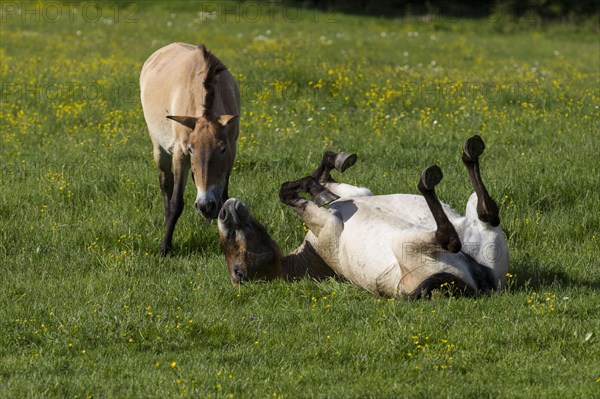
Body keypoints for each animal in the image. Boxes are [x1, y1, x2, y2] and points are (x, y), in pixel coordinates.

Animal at [141, 43, 239, 256]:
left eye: (222, 149)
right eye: (191, 149)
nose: (206, 205)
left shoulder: (232, 150)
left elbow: (224, 197)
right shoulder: (180, 153)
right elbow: (176, 202)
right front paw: (165, 248)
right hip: (160, 150)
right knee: (165, 181)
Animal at [218, 136, 508, 298]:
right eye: (238, 272)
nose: (225, 210)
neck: (313, 252)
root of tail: (482, 283)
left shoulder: (355, 192)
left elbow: (309, 179)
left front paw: (337, 162)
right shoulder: (325, 224)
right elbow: (293, 194)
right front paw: (321, 192)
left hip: (476, 223)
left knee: (486, 213)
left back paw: (470, 151)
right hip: (407, 244)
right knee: (451, 238)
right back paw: (430, 179)